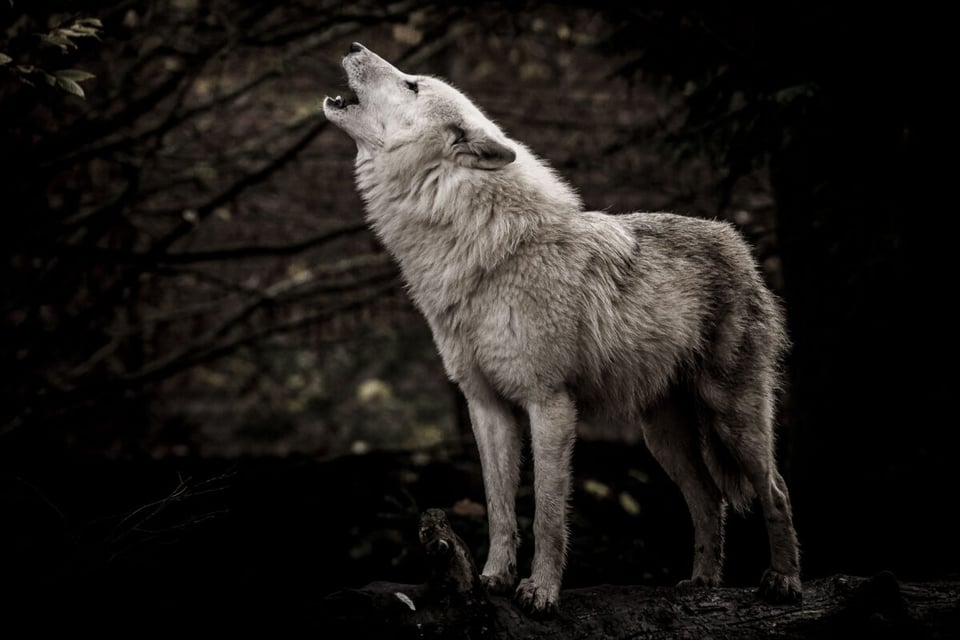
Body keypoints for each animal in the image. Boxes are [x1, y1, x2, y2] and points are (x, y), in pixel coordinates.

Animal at [323, 42, 802, 615]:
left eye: (412, 84)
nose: (354, 46)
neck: (482, 252)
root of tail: (735, 240)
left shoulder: (549, 403)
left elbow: (548, 514)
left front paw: (541, 592)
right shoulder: (486, 407)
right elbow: (500, 509)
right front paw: (492, 579)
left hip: (733, 417)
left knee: (775, 490)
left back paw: (784, 581)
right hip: (661, 436)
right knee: (709, 499)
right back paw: (703, 582)